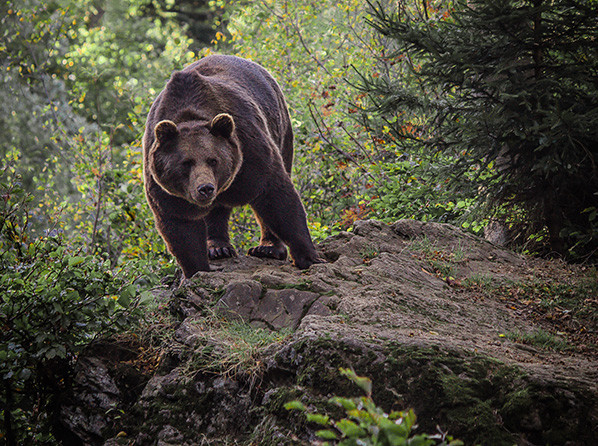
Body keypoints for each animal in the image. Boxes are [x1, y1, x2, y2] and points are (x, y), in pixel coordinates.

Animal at [143, 54, 324, 278]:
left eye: (213, 160)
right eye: (186, 163)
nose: (205, 188)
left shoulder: (249, 150)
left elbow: (277, 197)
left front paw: (310, 257)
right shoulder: (163, 184)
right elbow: (180, 225)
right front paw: (197, 270)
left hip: (282, 129)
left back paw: (267, 247)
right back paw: (218, 247)